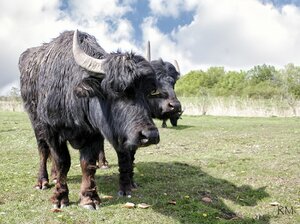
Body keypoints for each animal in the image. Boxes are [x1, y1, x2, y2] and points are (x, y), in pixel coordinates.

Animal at [18, 30, 159, 210]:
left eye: (149, 92)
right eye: (117, 90)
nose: (150, 135)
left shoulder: (94, 133)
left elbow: (88, 164)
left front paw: (89, 198)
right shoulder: (52, 130)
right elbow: (62, 161)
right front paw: (60, 197)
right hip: (36, 122)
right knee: (43, 151)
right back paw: (43, 181)